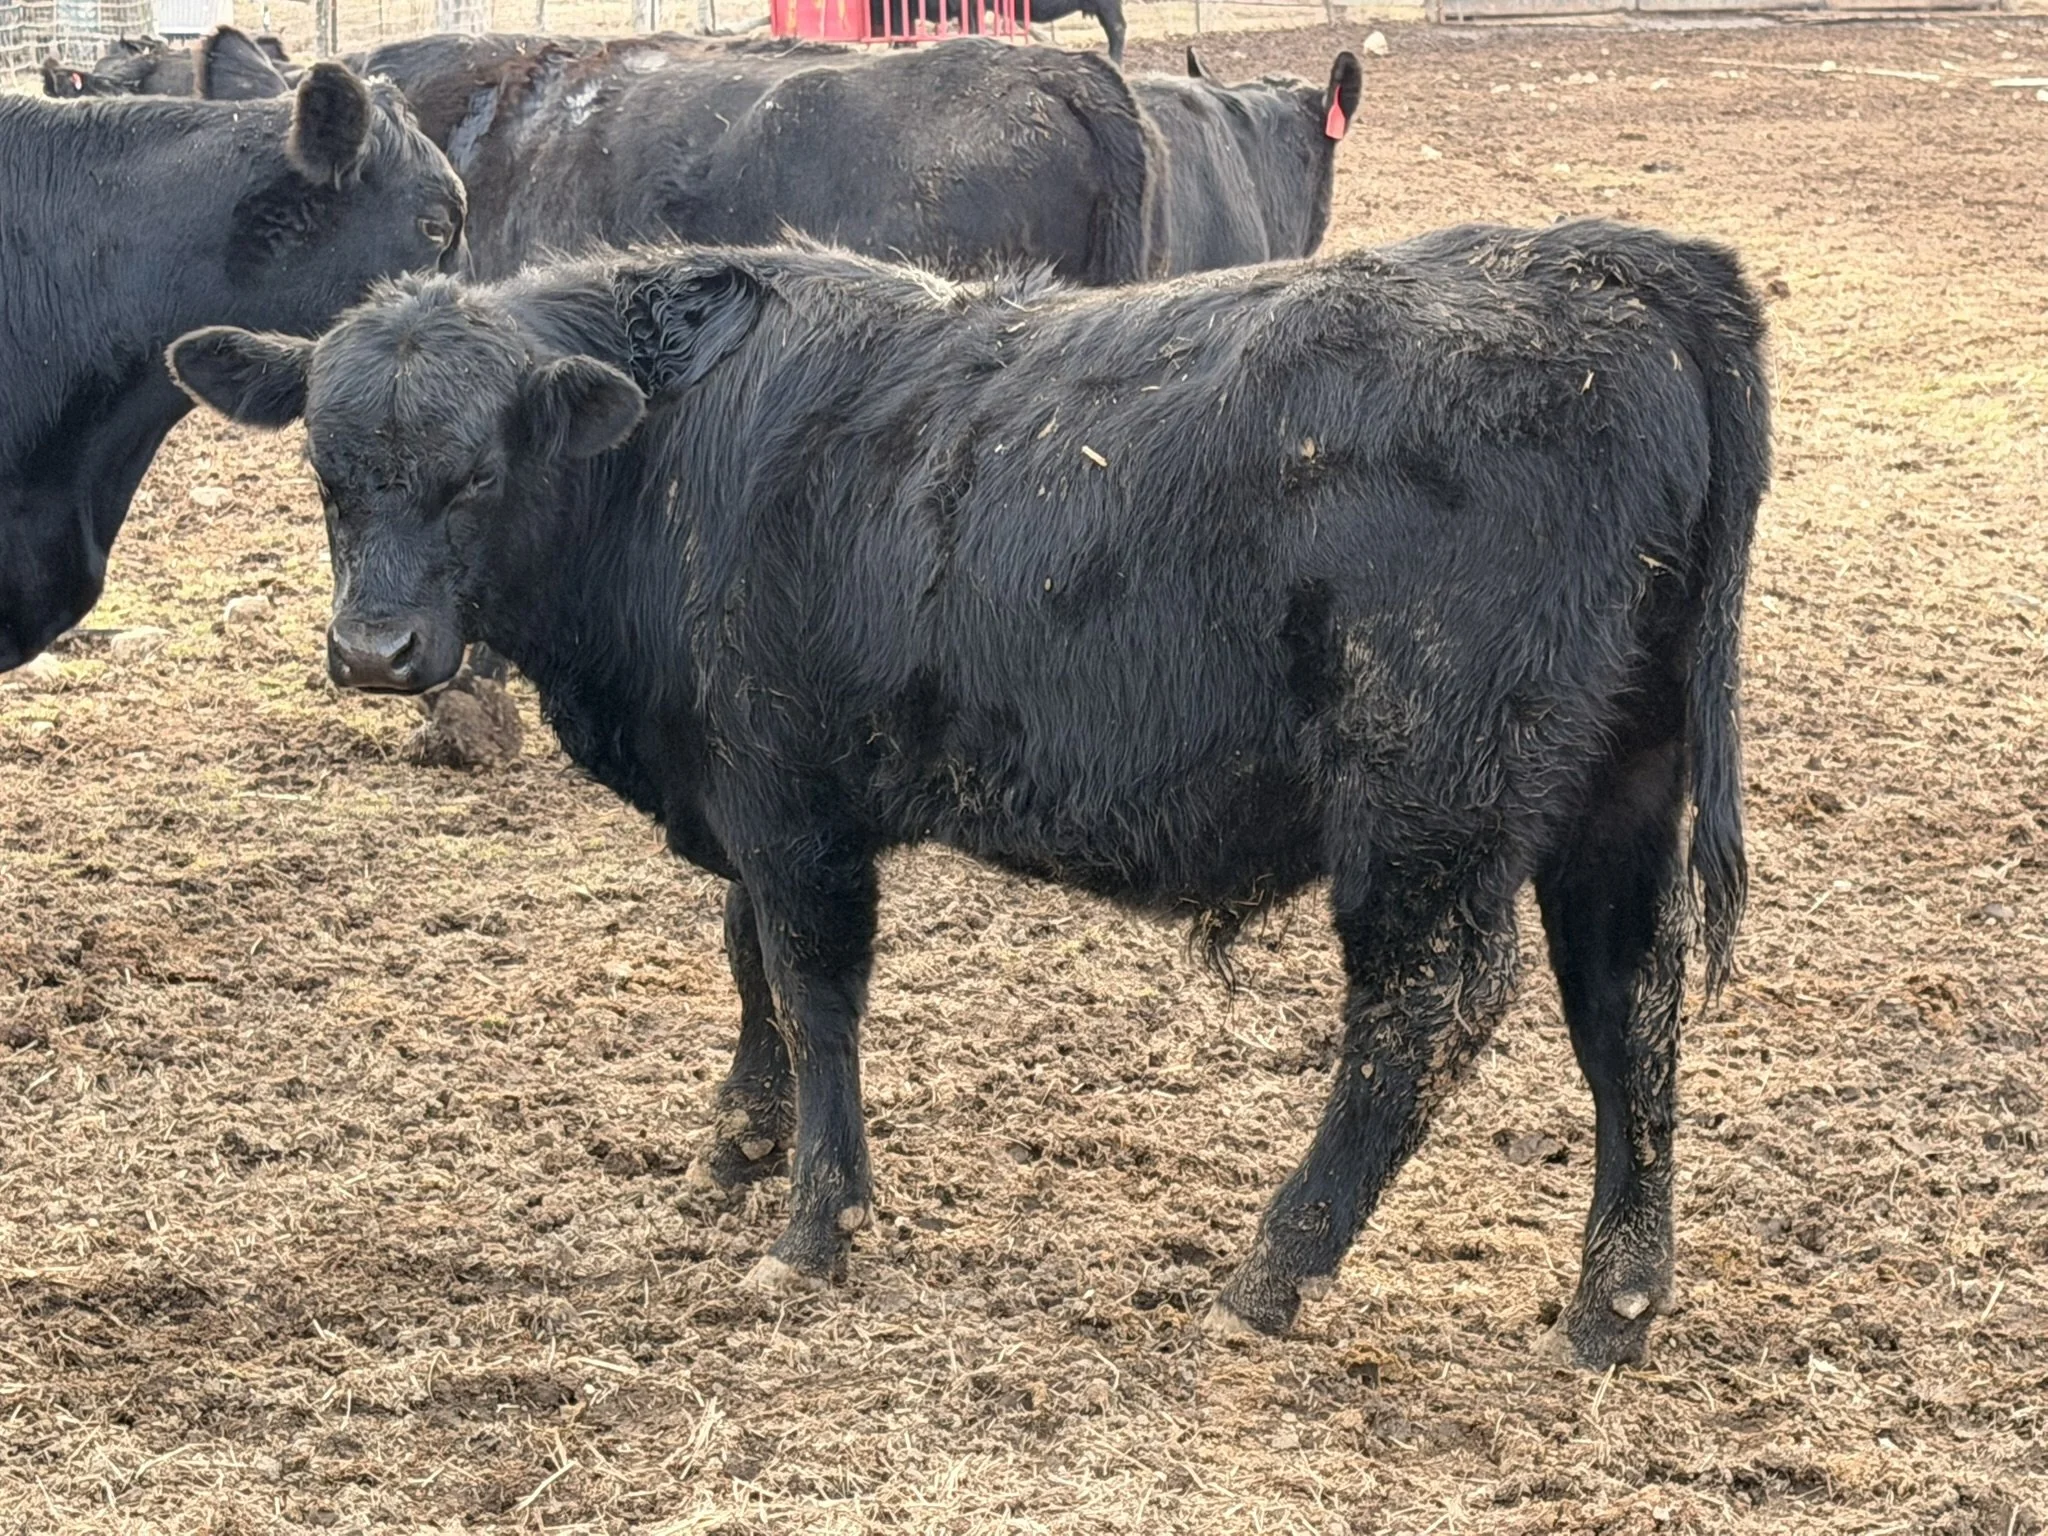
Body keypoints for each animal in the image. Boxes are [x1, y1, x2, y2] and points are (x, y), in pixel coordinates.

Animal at [170, 219, 1769, 1370]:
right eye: (325, 469)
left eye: (476, 471)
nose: (374, 652)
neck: (673, 462)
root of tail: (1610, 267)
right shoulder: (748, 801)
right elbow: (747, 965)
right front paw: (736, 1147)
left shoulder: (791, 802)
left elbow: (812, 990)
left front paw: (813, 1226)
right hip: (1615, 792)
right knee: (1627, 1009)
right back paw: (1612, 1307)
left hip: (1429, 803)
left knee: (1421, 1015)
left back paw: (1268, 1270)